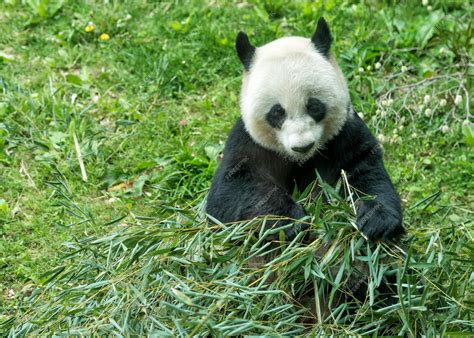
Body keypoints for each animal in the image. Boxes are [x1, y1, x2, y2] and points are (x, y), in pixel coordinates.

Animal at [207, 17, 404, 243]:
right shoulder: (249, 143)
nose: (302, 146)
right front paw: (291, 221)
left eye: (314, 106)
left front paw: (376, 219)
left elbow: (363, 170)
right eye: (277, 113)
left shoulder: (344, 133)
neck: (300, 160)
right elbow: (231, 191)